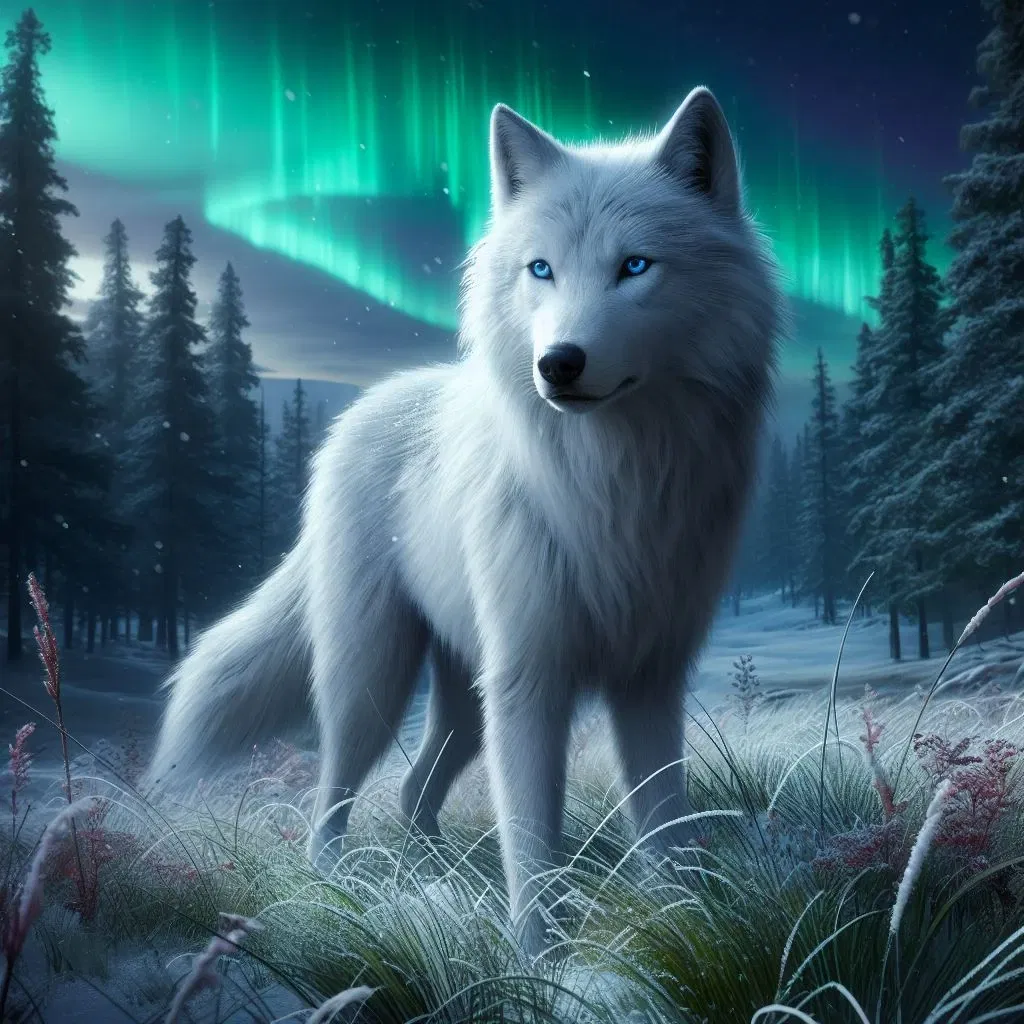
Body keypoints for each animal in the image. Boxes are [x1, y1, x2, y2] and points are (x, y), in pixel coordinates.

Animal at [148, 86, 785, 956]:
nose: (558, 364)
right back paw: (340, 896)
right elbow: (533, 845)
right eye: (541, 269)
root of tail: (361, 410)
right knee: (332, 800)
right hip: (375, 682)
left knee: (414, 792)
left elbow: (663, 828)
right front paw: (540, 961)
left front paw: (685, 926)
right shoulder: (529, 680)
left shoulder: (650, 679)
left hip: (461, 702)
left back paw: (434, 881)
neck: (612, 484)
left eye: (634, 266)